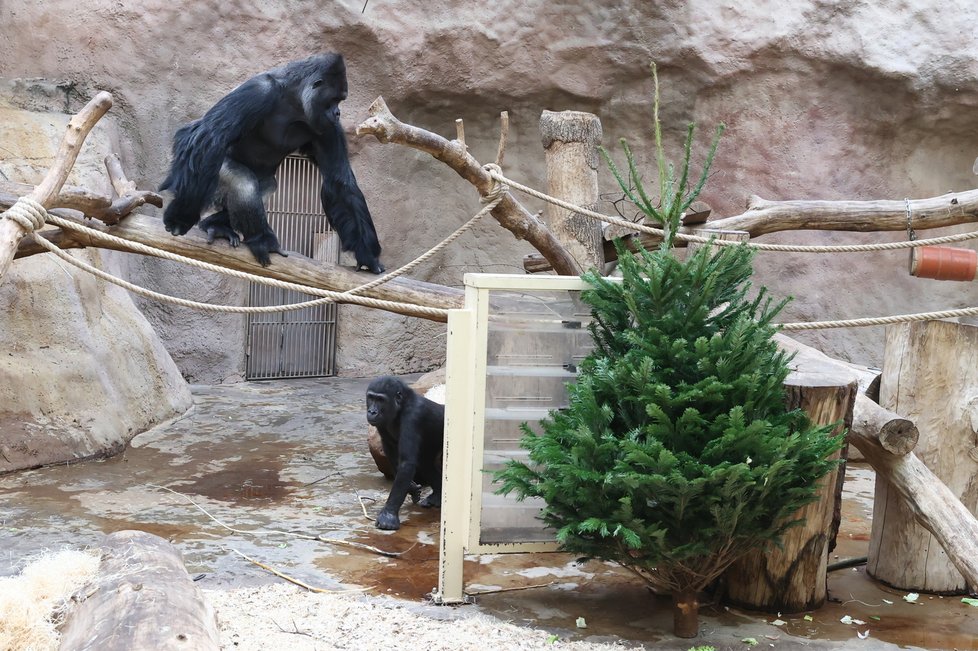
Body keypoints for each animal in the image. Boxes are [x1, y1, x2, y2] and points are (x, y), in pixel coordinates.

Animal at [158, 52, 384, 272]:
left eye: (341, 100)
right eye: (335, 99)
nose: (338, 113)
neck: (294, 101)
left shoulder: (327, 125)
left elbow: (339, 179)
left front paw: (367, 254)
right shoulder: (259, 91)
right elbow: (207, 137)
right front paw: (181, 215)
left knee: (266, 186)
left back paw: (215, 224)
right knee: (243, 180)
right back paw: (261, 239)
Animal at [364, 374, 444, 532]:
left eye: (381, 400)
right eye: (371, 398)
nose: (372, 412)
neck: (400, 407)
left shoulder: (413, 416)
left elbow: (406, 463)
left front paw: (388, 515)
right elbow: (392, 452)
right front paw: (411, 488)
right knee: (425, 463)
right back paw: (437, 495)